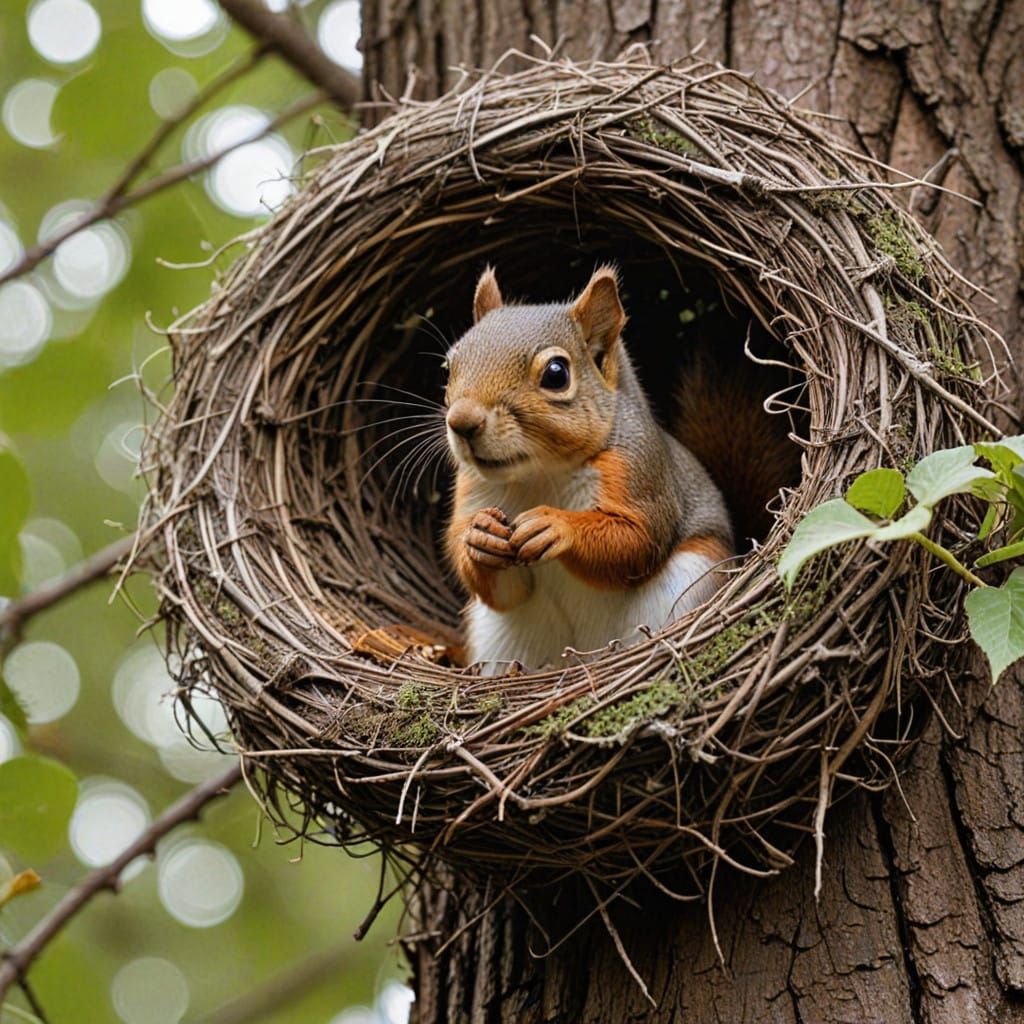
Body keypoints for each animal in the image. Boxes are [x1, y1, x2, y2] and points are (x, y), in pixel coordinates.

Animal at [443, 266, 736, 672]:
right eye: (449, 366)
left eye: (556, 374)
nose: (462, 421)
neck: (539, 474)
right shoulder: (471, 486)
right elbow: (506, 589)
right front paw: (478, 536)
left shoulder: (638, 470)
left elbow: (636, 540)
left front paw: (557, 525)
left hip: (692, 578)